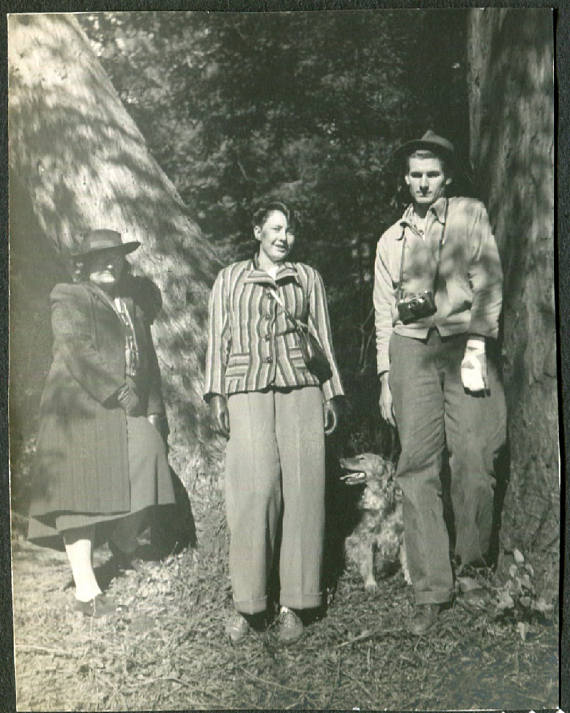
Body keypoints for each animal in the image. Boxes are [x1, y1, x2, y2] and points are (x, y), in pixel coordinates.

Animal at [338, 454, 408, 592]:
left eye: (362, 458)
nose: (340, 460)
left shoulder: (402, 534)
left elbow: (407, 559)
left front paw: (410, 578)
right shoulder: (367, 536)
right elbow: (367, 562)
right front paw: (370, 583)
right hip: (350, 541)